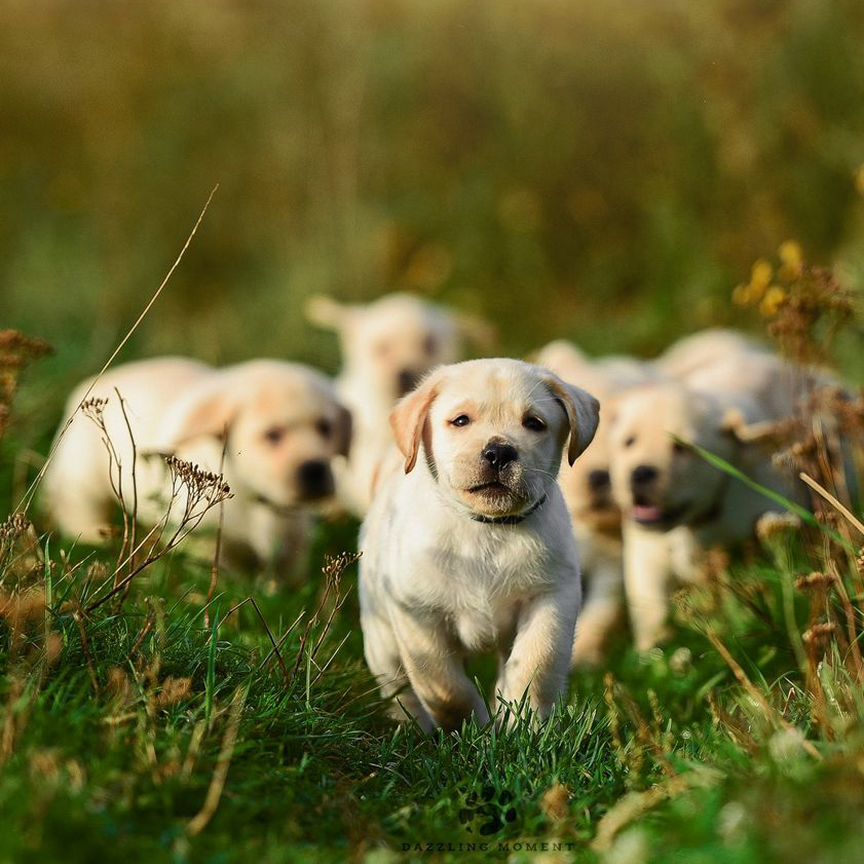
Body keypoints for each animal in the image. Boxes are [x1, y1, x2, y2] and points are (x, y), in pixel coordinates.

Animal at [360, 356, 600, 728]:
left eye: (534, 423)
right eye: (461, 420)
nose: (499, 452)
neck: (488, 529)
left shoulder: (551, 597)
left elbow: (536, 664)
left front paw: (525, 724)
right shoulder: (418, 614)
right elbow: (444, 687)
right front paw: (472, 726)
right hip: (381, 640)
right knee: (400, 690)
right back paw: (413, 727)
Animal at [608, 382, 796, 652]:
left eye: (682, 447)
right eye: (629, 441)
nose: (640, 473)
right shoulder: (646, 552)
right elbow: (650, 605)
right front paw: (651, 649)